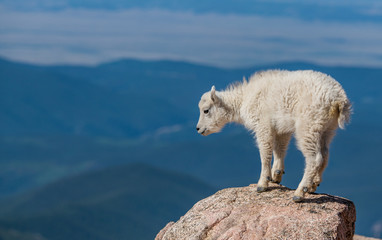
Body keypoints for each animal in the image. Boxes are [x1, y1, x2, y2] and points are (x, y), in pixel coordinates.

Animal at [198, 70, 350, 202]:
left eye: (206, 110)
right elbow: (280, 148)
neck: (243, 100)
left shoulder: (263, 125)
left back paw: (300, 192)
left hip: (308, 126)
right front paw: (276, 175)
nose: (198, 129)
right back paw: (313, 185)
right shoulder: (282, 129)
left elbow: (265, 152)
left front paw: (262, 184)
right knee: (325, 154)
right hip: (327, 129)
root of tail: (338, 99)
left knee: (314, 158)